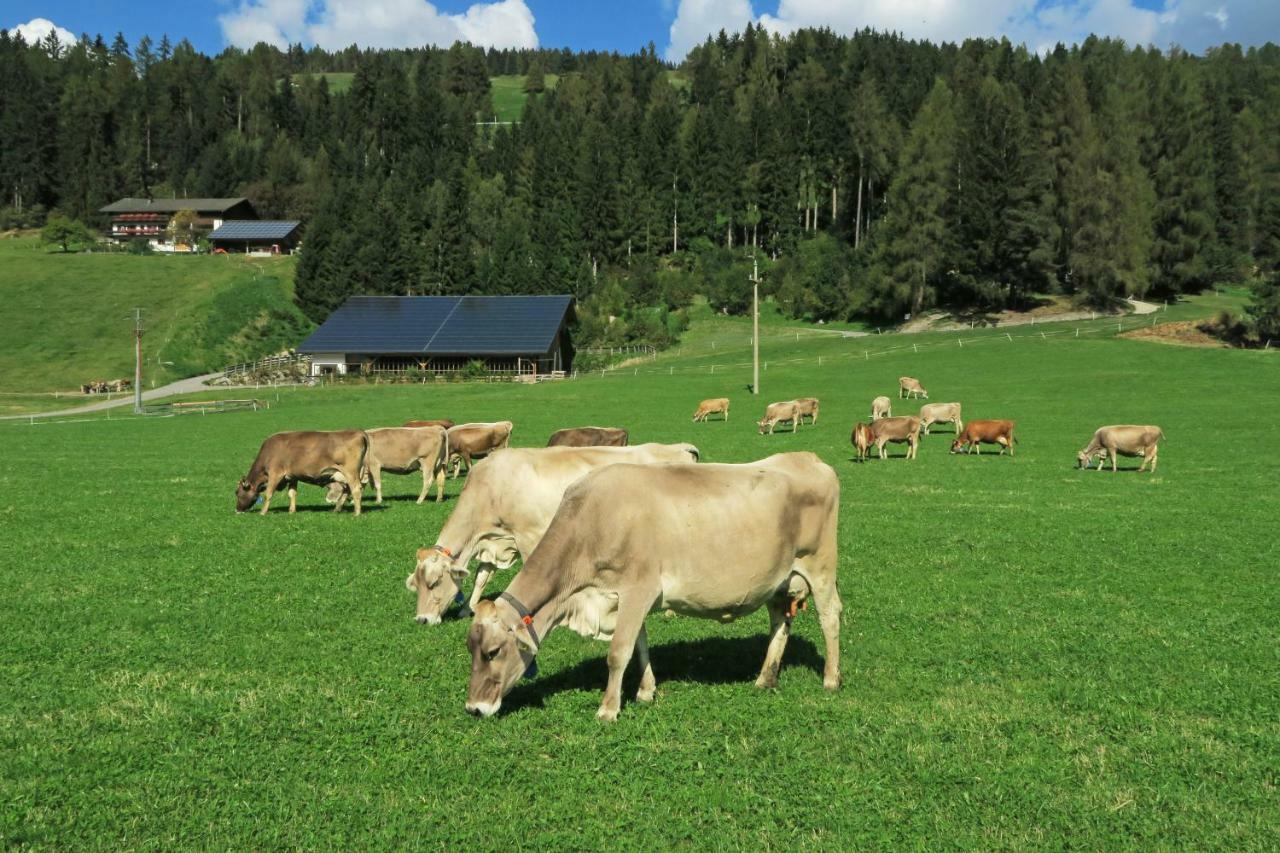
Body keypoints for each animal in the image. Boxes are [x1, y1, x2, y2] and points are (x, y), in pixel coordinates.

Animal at [235, 432, 368, 512]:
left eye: (237, 492)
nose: (237, 510)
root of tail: (358, 432)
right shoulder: (292, 477)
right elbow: (292, 493)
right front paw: (291, 511)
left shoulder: (275, 473)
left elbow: (268, 493)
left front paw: (263, 512)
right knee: (348, 489)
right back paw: (337, 510)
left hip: (351, 472)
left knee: (356, 489)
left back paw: (356, 513)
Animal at [404, 440, 701, 622]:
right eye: (415, 585)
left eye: (433, 583)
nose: (422, 620)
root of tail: (679, 448)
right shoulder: (495, 541)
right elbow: (481, 577)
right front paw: (467, 608)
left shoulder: (527, 535)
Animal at [465, 448, 844, 722]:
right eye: (471, 650)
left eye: (493, 652)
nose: (474, 709)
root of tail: (809, 458)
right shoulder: (626, 597)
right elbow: (640, 645)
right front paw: (646, 692)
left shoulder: (638, 587)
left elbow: (618, 652)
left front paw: (608, 709)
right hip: (779, 580)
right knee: (780, 621)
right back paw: (765, 678)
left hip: (820, 566)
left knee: (830, 617)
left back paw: (830, 679)